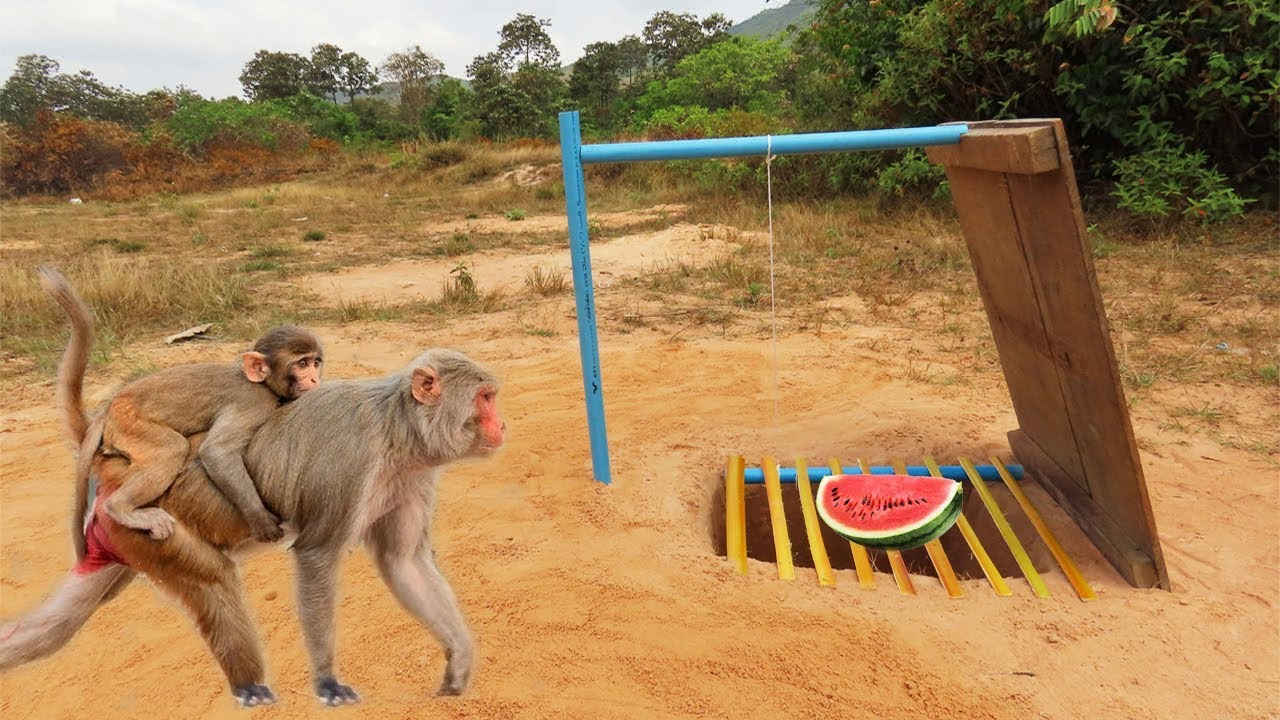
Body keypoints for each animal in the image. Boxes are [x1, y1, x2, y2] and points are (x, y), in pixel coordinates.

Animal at [1, 286, 507, 707]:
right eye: (485, 398)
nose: (501, 425)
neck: (396, 431)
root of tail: (110, 459)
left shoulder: (413, 476)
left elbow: (402, 562)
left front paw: (459, 659)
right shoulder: (350, 464)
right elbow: (316, 555)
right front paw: (326, 680)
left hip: (115, 540)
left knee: (54, 626)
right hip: (152, 526)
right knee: (214, 581)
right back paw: (249, 687)